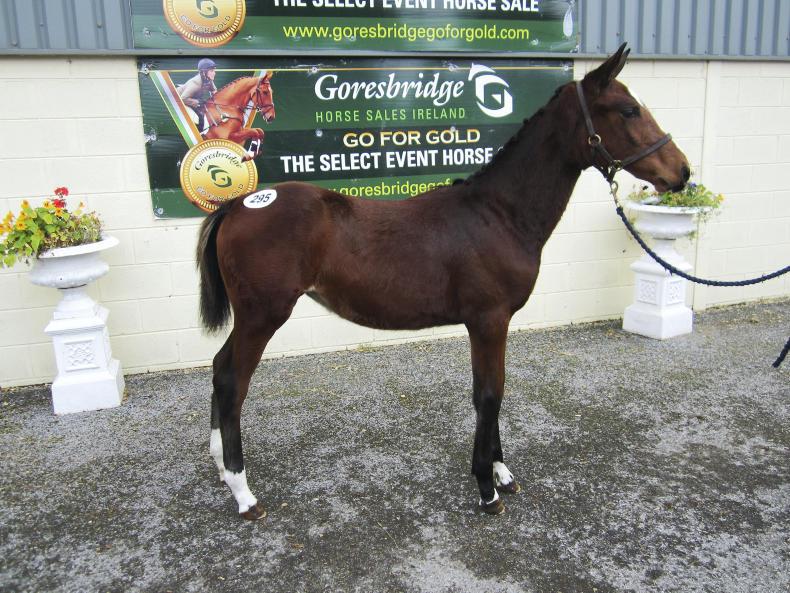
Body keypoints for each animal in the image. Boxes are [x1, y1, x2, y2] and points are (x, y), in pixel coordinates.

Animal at [196, 45, 690, 520]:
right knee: (233, 382)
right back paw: (244, 493)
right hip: (263, 316)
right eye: (628, 110)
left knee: (219, 368)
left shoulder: (487, 324)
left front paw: (502, 472)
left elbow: (486, 393)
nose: (682, 172)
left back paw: (221, 469)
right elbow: (490, 395)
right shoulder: (489, 321)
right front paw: (488, 490)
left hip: (253, 317)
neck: (499, 214)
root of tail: (239, 204)